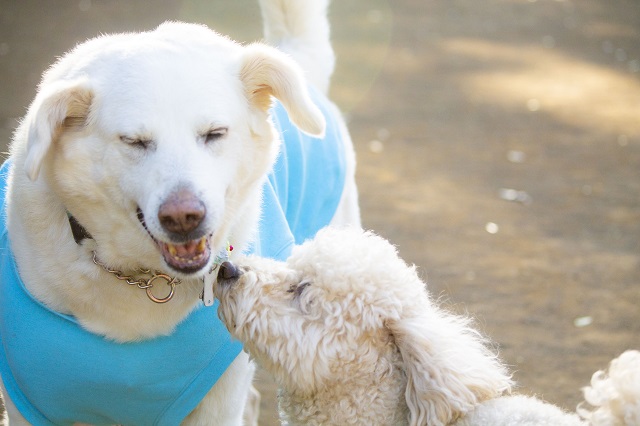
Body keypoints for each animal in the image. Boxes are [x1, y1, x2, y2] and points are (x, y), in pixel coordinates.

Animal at [0, 0, 360, 424]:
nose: (184, 217)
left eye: (215, 134)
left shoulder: (217, 403)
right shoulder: (30, 402)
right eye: (134, 142)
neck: (142, 279)